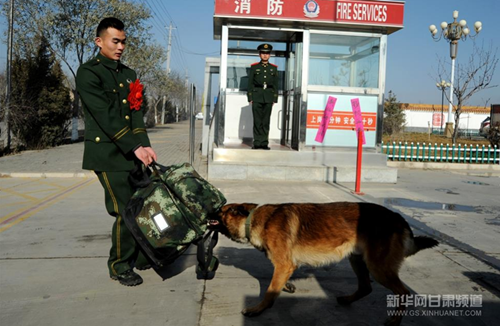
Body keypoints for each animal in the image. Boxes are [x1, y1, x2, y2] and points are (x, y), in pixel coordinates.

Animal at [209, 202, 440, 324]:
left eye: (220, 211)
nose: (208, 211)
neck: (255, 220)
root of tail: (399, 218)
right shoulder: (286, 266)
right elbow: (277, 283)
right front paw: (287, 286)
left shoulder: (283, 264)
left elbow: (269, 291)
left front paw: (258, 309)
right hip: (357, 260)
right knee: (365, 287)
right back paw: (347, 300)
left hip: (378, 267)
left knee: (404, 292)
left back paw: (395, 320)